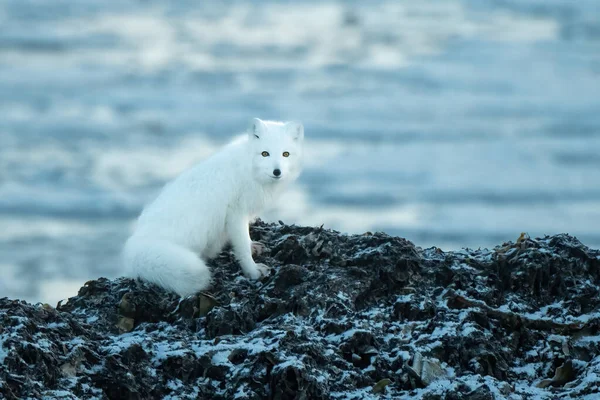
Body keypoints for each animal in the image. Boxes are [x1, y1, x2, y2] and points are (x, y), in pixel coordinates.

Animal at [122, 119, 302, 296]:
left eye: (285, 154)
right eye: (265, 153)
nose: (277, 171)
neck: (250, 170)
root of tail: (136, 242)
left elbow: (246, 240)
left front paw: (253, 247)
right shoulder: (236, 213)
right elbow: (242, 245)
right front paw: (252, 271)